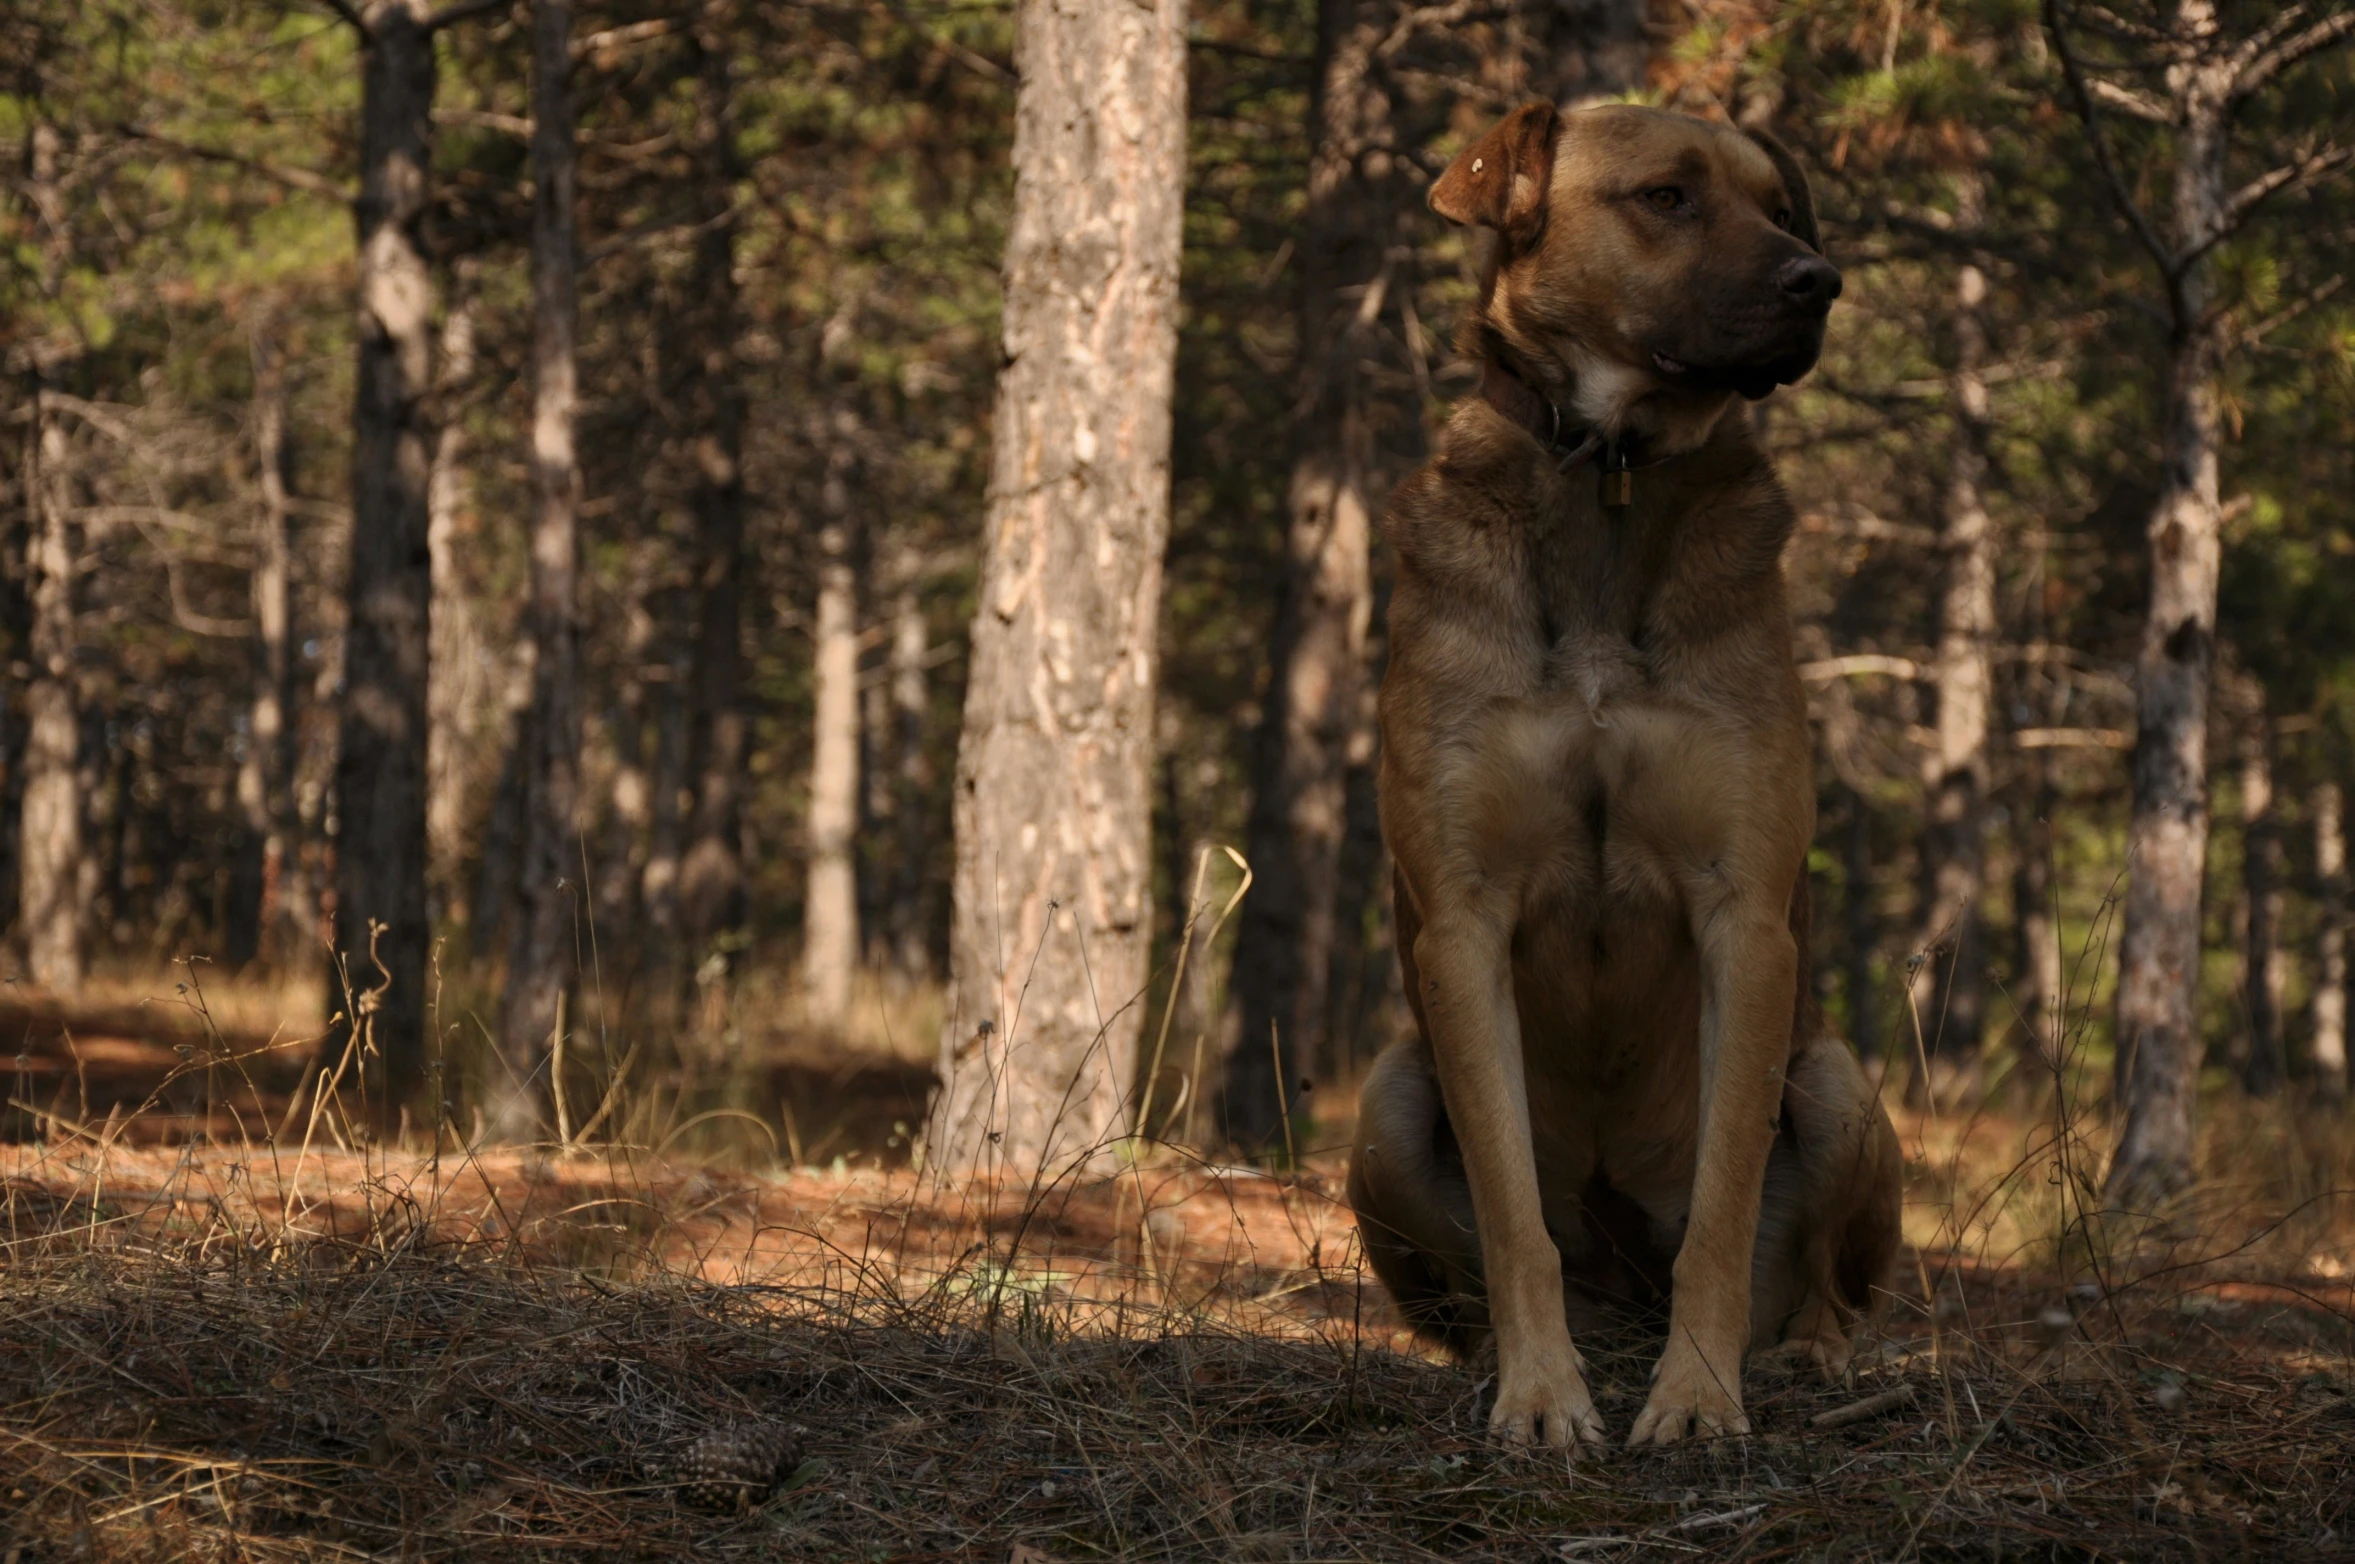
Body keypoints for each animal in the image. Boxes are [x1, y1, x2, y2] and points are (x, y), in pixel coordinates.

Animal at [1347, 103, 1893, 1450]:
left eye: (1781, 210)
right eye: (1667, 196)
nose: (1821, 282)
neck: (1610, 467)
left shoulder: (1747, 918)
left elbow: (1723, 1209)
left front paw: (1697, 1394)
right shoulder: (1462, 925)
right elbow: (1512, 1216)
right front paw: (1541, 1393)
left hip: (1840, 1082)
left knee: (1824, 1278)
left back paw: (1814, 1352)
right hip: (1385, 1103)